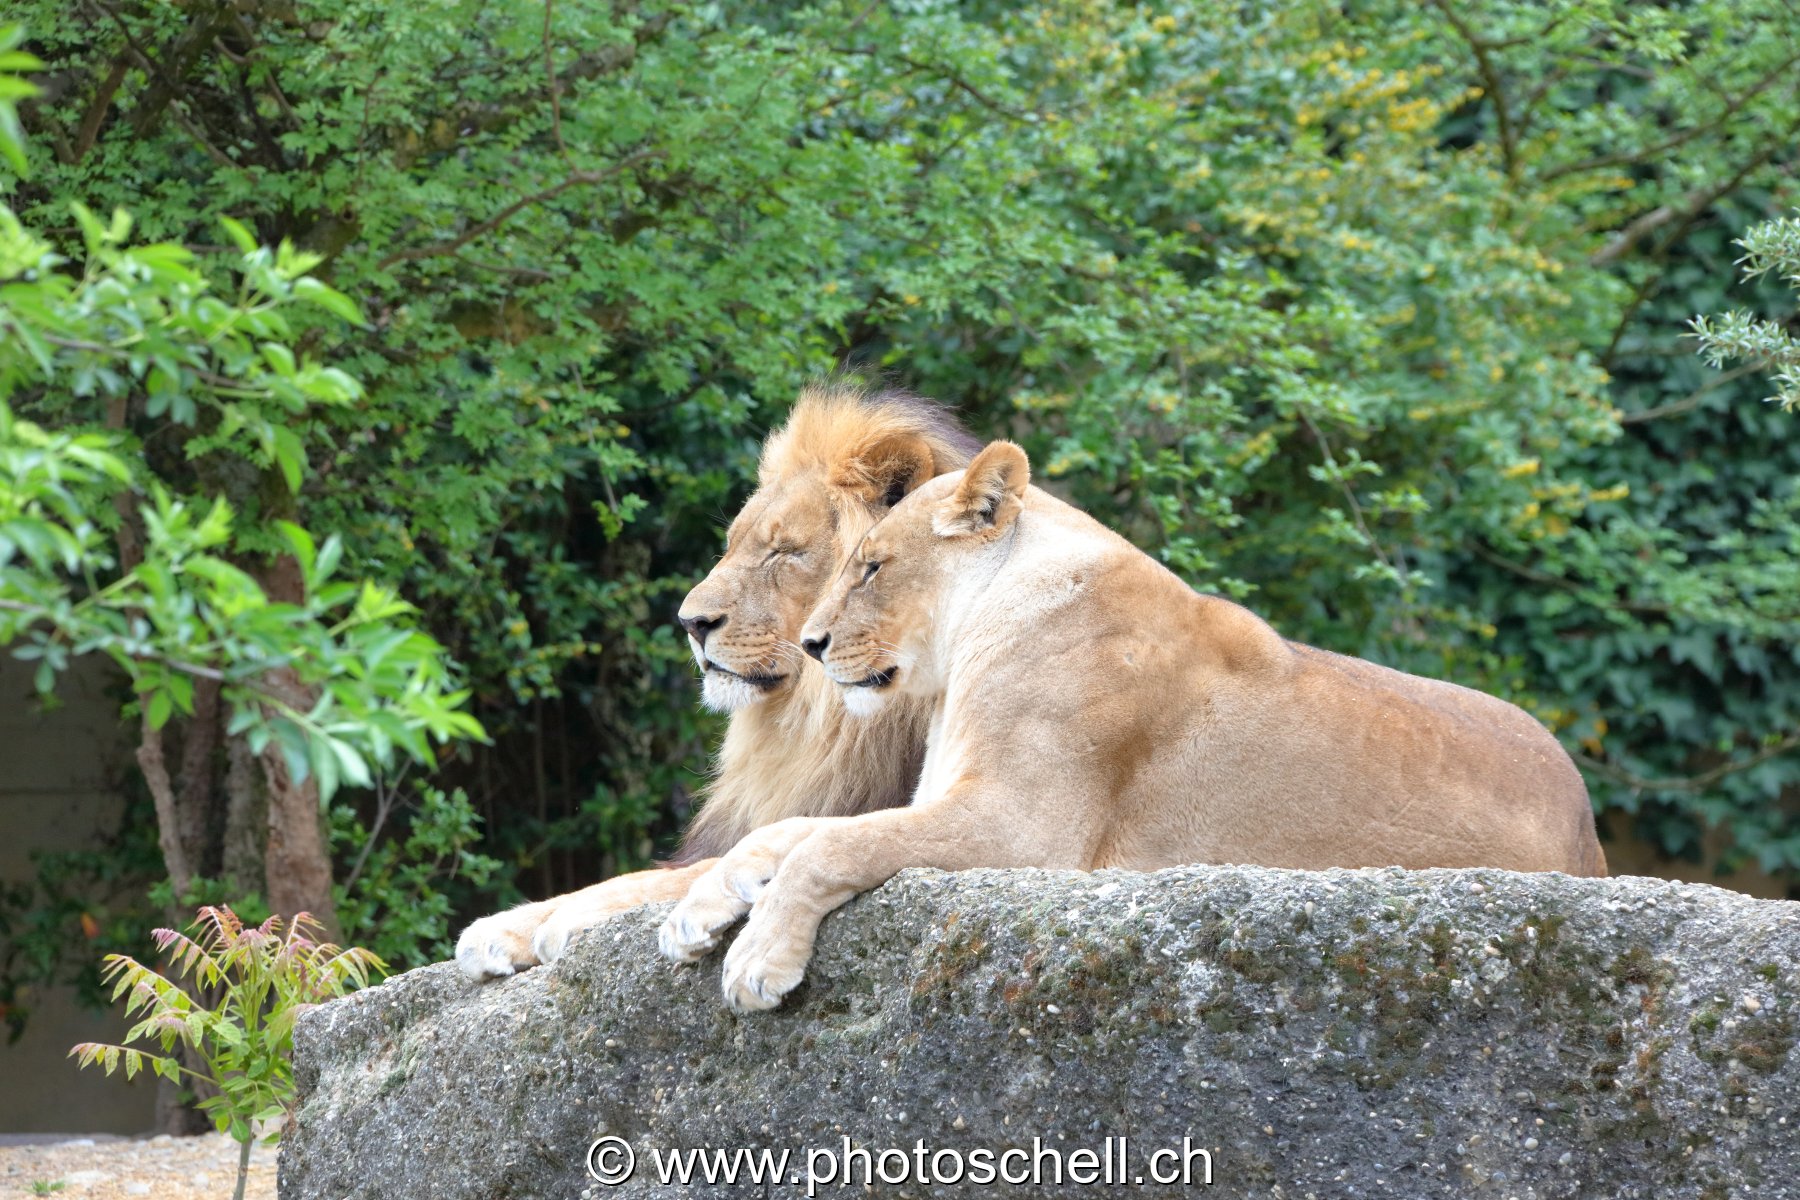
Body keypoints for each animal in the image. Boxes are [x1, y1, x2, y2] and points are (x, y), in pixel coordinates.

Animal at [453, 383, 980, 980]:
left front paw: (568, 919)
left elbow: (692, 870)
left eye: (784, 551)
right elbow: (651, 872)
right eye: (732, 546)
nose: (690, 623)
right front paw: (506, 924)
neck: (816, 721)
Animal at [657, 440, 1608, 1011]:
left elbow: (832, 844)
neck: (980, 638)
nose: (814, 645)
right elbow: (785, 833)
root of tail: (1591, 830)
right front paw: (697, 914)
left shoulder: (1024, 828)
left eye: (873, 566)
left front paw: (759, 960)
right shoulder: (948, 800)